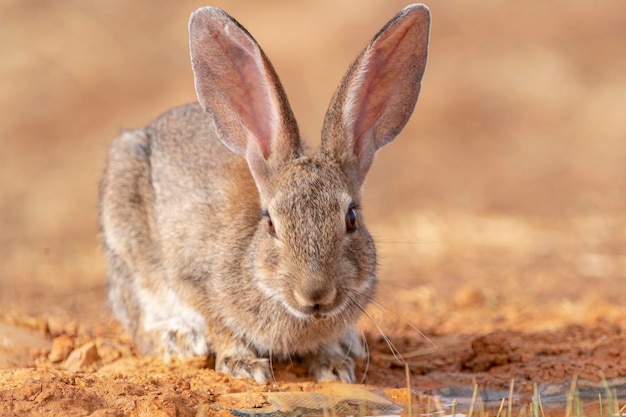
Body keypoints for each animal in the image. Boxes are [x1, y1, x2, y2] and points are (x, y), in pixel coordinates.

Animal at [98, 3, 428, 382]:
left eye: (351, 219)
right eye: (270, 224)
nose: (315, 294)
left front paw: (332, 364)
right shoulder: (195, 279)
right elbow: (218, 323)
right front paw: (243, 364)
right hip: (128, 241)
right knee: (139, 321)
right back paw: (179, 339)